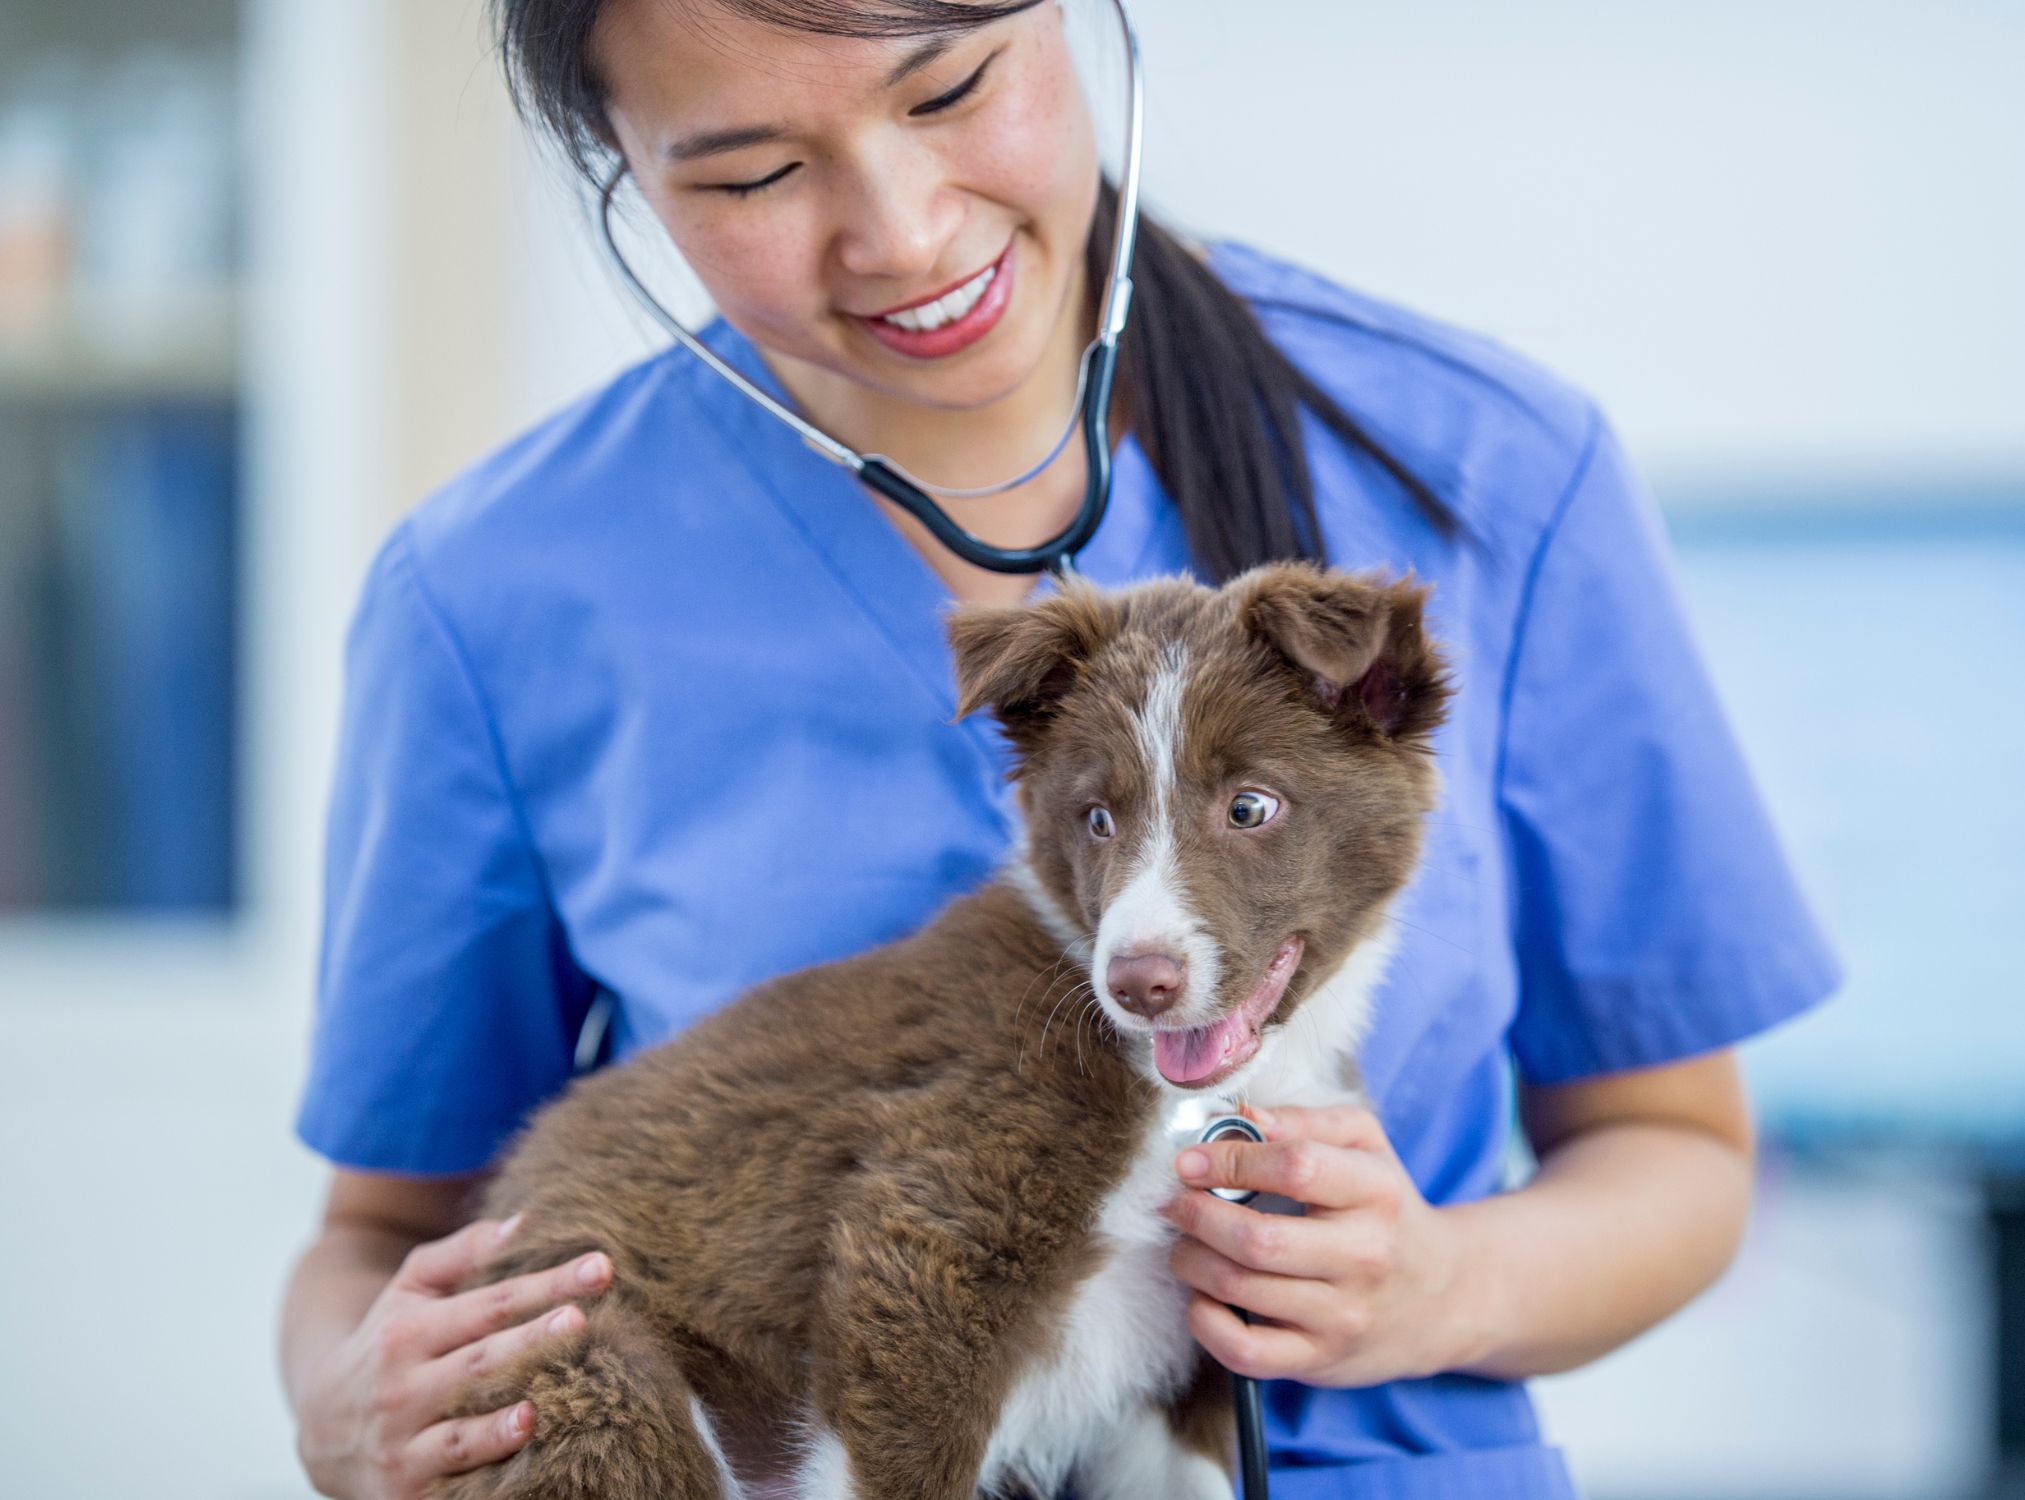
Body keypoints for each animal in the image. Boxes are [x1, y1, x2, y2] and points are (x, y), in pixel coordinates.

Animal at [431, 558, 1441, 1497]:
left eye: (1250, 806)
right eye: (1097, 819)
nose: (1138, 984)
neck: (1182, 1100)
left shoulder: (1196, 1330)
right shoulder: (927, 1239)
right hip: (584, 1354)